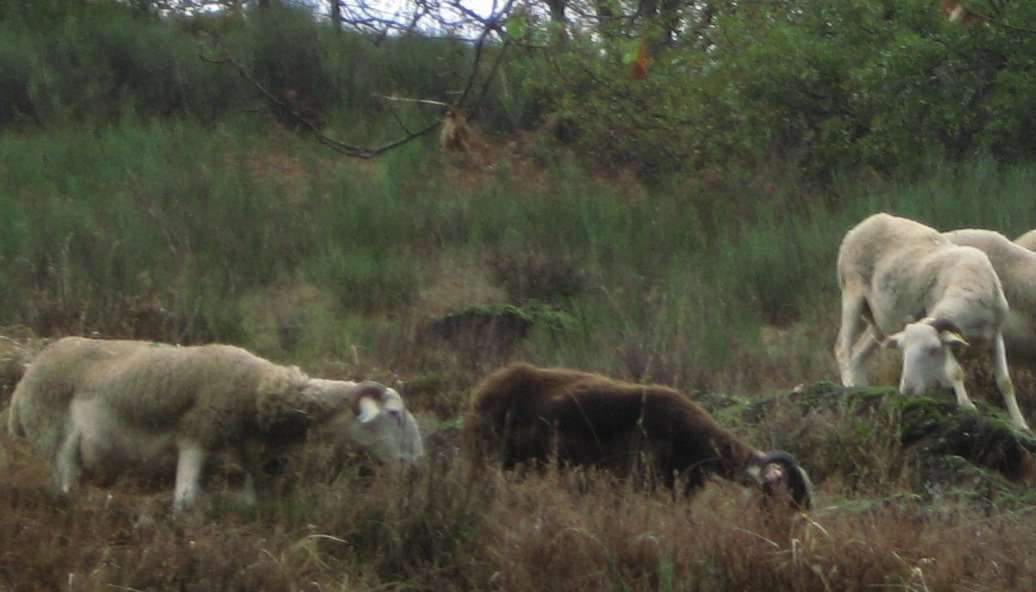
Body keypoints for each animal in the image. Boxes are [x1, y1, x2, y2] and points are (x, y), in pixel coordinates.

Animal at [8, 337, 420, 510]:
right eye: (394, 414)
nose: (416, 465)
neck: (258, 390)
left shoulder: (243, 455)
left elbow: (250, 503)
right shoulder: (196, 437)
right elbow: (185, 502)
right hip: (57, 440)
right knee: (64, 491)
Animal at [832, 213, 1027, 431]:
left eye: (933, 350)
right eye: (902, 351)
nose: (906, 391)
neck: (967, 282)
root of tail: (863, 224)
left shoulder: (995, 336)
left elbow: (1005, 382)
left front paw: (1021, 424)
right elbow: (955, 372)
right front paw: (967, 405)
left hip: (876, 319)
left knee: (858, 352)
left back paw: (862, 388)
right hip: (852, 292)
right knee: (842, 347)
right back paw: (849, 386)